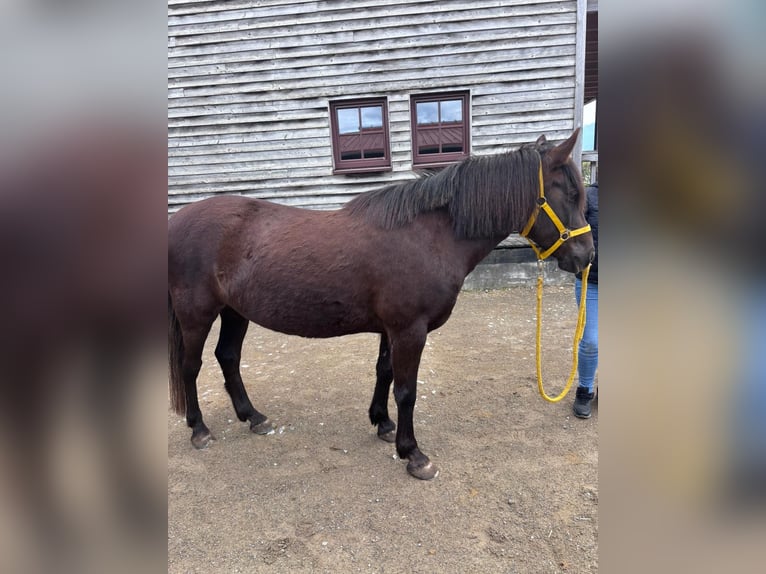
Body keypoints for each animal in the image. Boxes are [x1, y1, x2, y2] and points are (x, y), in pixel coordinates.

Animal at [168, 129, 594, 480]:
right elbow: (406, 390)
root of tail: (179, 220)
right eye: (571, 194)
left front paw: (383, 425)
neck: (427, 235)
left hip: (235, 312)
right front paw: (414, 454)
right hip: (197, 315)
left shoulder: (392, 329)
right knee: (192, 366)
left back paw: (253, 417)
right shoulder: (410, 330)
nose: (586, 256)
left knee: (228, 357)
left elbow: (384, 373)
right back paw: (199, 429)